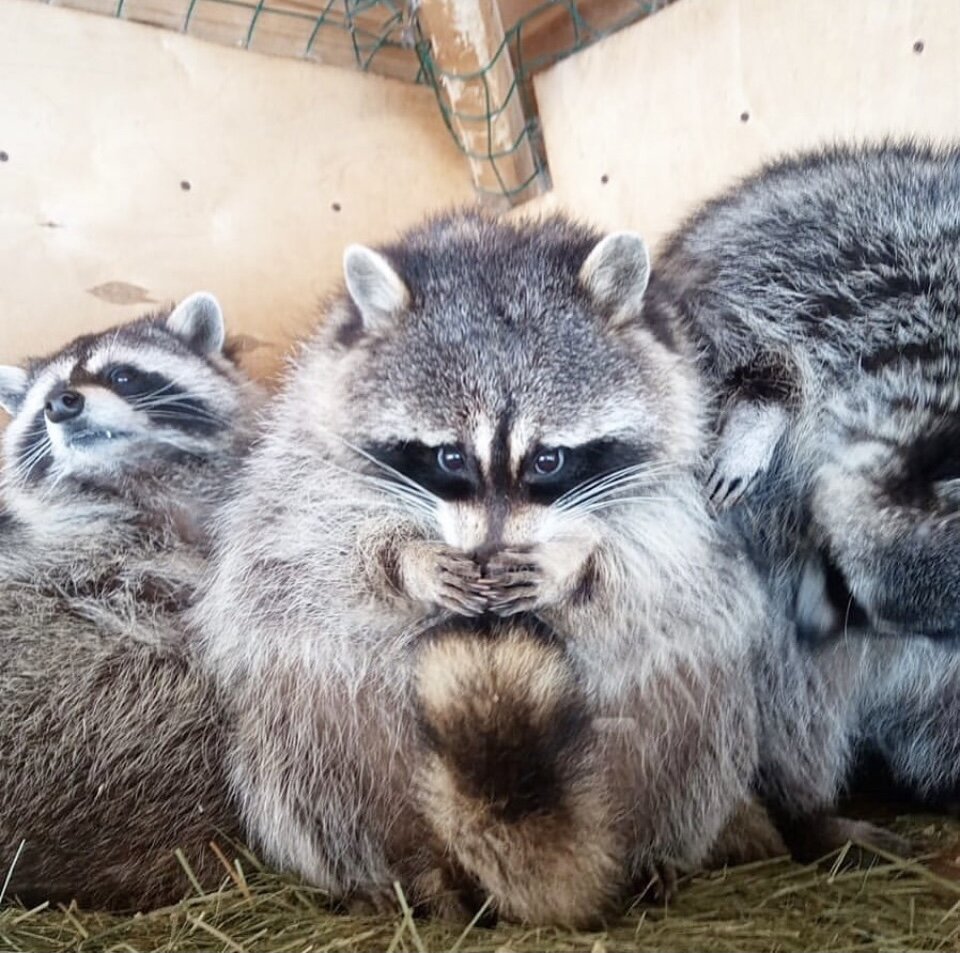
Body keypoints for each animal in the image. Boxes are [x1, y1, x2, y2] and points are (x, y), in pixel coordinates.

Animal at [197, 210, 780, 924]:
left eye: (549, 460)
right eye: (449, 457)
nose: (487, 551)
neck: (494, 254)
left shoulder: (688, 478)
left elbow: (660, 559)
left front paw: (574, 563)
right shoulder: (304, 448)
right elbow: (312, 543)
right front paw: (408, 560)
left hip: (681, 727)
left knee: (699, 730)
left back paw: (656, 849)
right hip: (313, 731)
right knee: (301, 755)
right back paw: (386, 874)